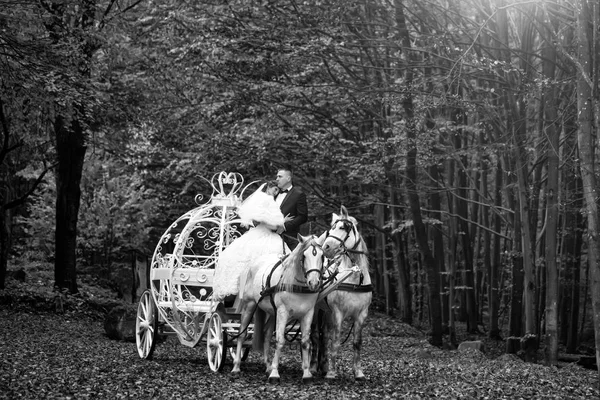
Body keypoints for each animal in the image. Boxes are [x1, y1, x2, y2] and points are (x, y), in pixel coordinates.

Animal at [232, 233, 324, 382]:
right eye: (304, 256)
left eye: (322, 256)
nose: (314, 283)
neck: (296, 285)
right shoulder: (282, 312)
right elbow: (280, 340)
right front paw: (275, 373)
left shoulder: (308, 313)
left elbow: (305, 342)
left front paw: (306, 373)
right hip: (249, 305)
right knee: (242, 334)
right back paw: (236, 366)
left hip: (271, 313)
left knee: (266, 335)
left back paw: (267, 365)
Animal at [312, 206, 372, 382]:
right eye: (330, 229)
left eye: (342, 228)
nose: (326, 247)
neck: (354, 276)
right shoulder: (337, 313)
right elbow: (336, 341)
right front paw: (332, 373)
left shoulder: (362, 314)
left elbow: (357, 343)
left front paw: (358, 372)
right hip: (317, 312)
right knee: (317, 337)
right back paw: (315, 367)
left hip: (325, 313)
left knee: (323, 337)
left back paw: (323, 366)